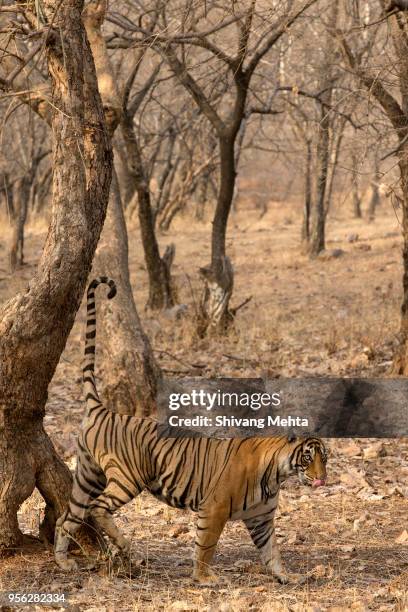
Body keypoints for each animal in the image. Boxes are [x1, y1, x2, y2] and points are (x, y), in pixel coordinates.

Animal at [54, 278, 328, 584]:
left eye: (325, 458)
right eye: (308, 457)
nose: (322, 478)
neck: (277, 475)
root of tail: (102, 409)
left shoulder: (261, 519)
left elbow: (272, 552)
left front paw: (288, 577)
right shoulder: (214, 508)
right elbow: (206, 545)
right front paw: (205, 578)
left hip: (87, 477)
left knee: (67, 516)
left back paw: (63, 562)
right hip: (127, 476)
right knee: (97, 508)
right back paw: (126, 548)